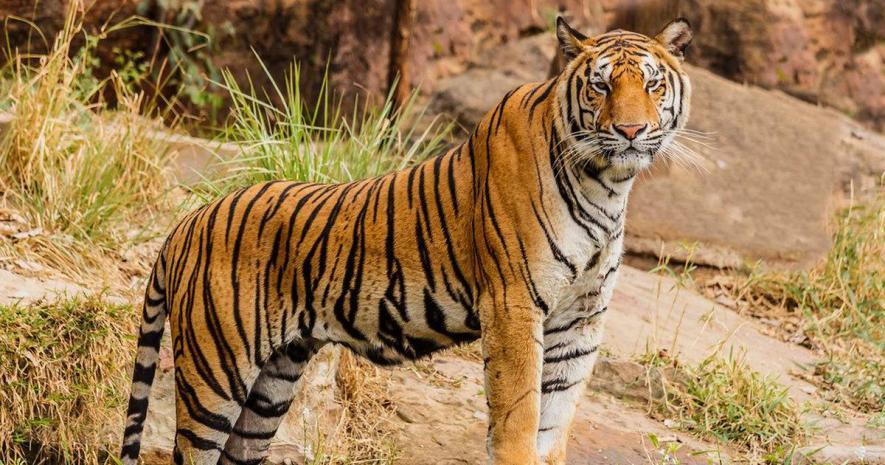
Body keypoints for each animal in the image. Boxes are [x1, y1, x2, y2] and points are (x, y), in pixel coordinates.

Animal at [119, 17, 692, 465]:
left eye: (652, 85)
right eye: (601, 86)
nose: (631, 131)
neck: (607, 185)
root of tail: (186, 223)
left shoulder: (581, 320)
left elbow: (554, 421)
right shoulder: (513, 305)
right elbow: (519, 416)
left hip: (272, 384)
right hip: (215, 372)